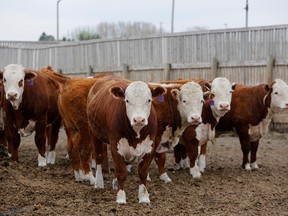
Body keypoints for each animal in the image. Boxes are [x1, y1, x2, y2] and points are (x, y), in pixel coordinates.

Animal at [86, 75, 165, 203]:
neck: (136, 133)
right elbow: (121, 172)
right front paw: (121, 198)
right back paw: (99, 183)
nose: (139, 120)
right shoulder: (116, 145)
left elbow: (142, 172)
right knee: (99, 158)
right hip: (94, 133)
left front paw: (144, 197)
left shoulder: (149, 147)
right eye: (127, 101)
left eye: (149, 100)